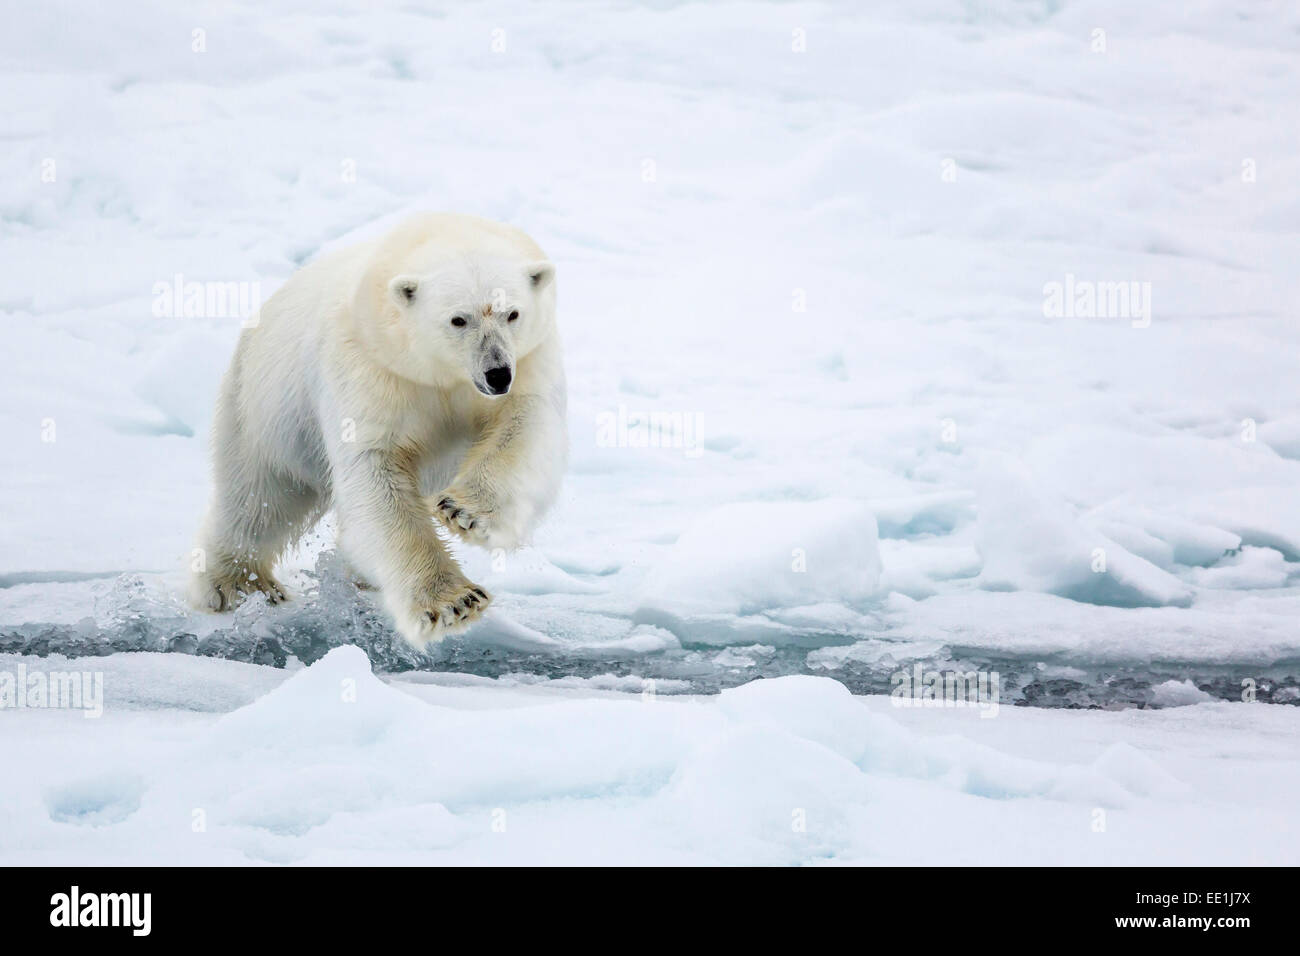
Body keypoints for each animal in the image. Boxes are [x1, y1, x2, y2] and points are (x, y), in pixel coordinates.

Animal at [189, 213, 566, 647]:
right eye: (458, 319)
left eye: (512, 313)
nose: (497, 373)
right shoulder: (371, 365)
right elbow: (375, 468)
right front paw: (453, 603)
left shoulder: (529, 358)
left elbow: (525, 426)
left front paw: (463, 512)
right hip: (263, 407)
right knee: (260, 495)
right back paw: (238, 585)